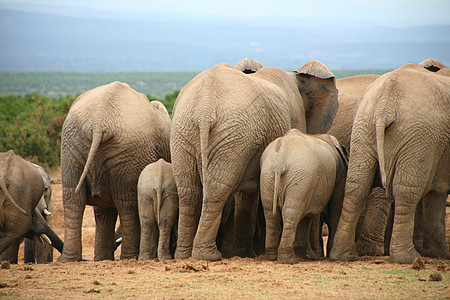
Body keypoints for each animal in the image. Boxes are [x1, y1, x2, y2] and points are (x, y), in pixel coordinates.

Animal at [59, 81, 171, 262]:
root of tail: (99, 121)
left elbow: (103, 209)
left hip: (82, 147)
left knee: (75, 200)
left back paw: (70, 259)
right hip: (82, 144)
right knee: (125, 204)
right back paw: (126, 258)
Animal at [171, 60, 338, 260]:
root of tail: (205, 107)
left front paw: (244, 253)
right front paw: (246, 253)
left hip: (186, 131)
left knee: (189, 190)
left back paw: (184, 255)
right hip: (235, 135)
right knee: (217, 189)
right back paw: (208, 256)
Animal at [260, 128, 348, 262]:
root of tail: (280, 161)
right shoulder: (339, 172)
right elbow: (335, 205)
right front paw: (314, 256)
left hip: (267, 176)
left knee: (271, 214)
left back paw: (272, 257)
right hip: (301, 178)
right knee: (291, 213)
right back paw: (289, 259)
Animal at [328, 62, 448, 264]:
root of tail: (386, 103)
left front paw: (437, 253)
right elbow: (436, 191)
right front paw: (440, 254)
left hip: (363, 127)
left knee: (356, 186)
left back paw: (344, 255)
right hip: (418, 136)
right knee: (406, 190)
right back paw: (407, 258)